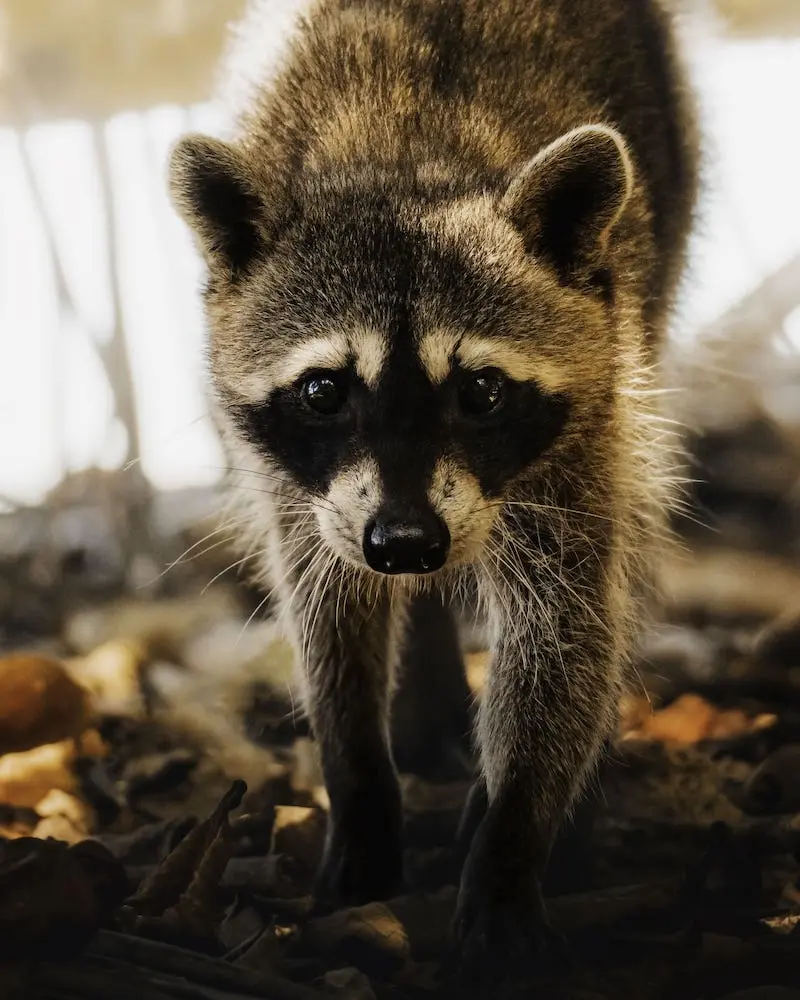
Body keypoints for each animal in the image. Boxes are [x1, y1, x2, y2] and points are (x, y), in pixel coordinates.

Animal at [170, 0, 700, 972]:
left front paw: (512, 837)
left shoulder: (586, 428)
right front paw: (358, 783)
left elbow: (566, 633)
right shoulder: (304, 490)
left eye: (481, 391)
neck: (410, 165)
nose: (409, 543)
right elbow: (327, 616)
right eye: (324, 390)